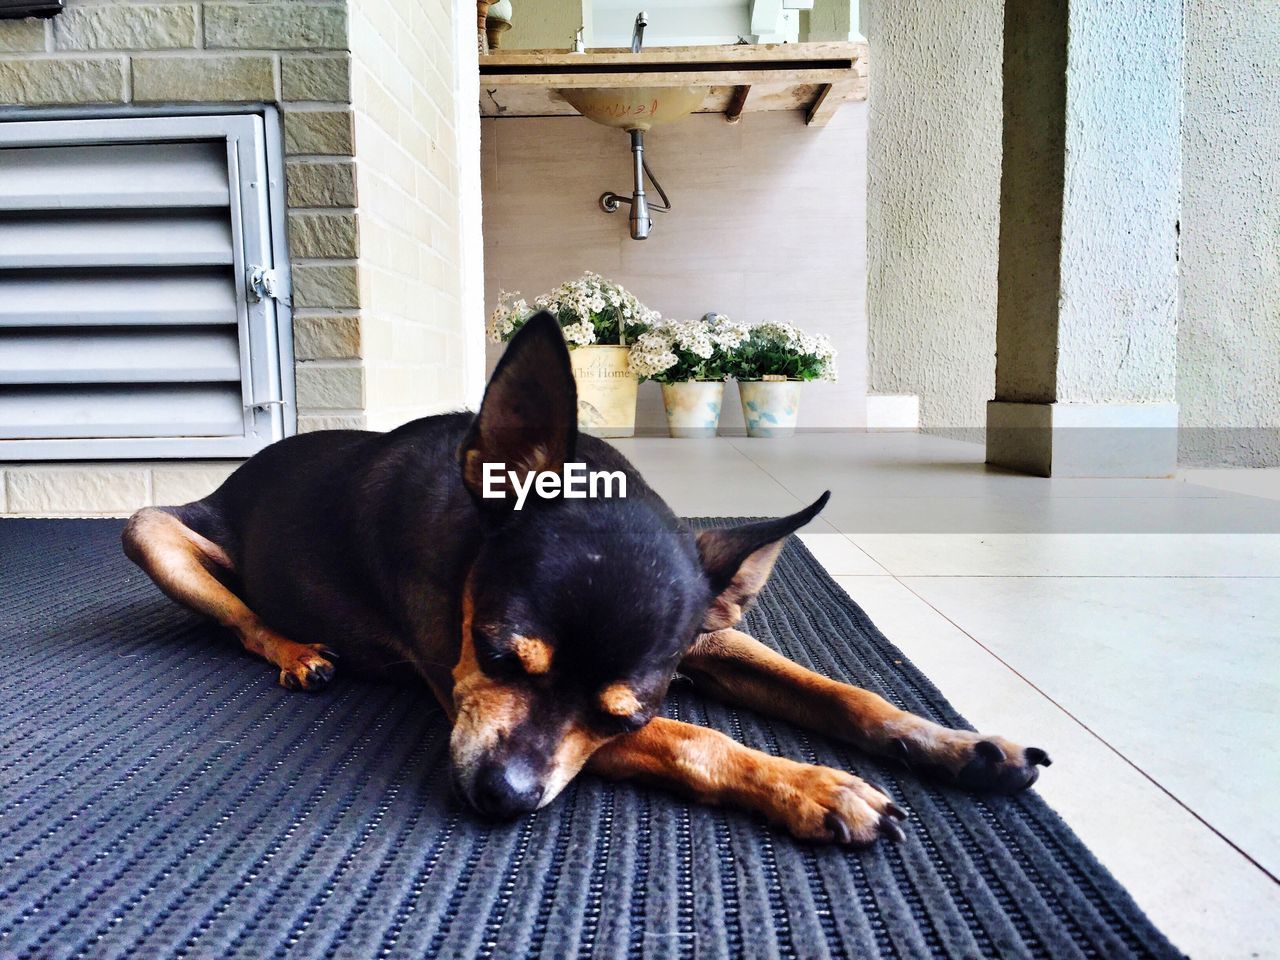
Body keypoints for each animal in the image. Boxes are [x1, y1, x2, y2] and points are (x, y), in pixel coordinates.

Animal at [122, 312, 1049, 844]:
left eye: (622, 713)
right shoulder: (462, 694)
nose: (502, 796)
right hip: (151, 531)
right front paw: (813, 784)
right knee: (241, 618)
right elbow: (696, 740)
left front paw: (957, 744)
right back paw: (297, 652)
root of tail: (233, 481)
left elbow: (840, 692)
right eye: (495, 656)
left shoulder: (706, 643)